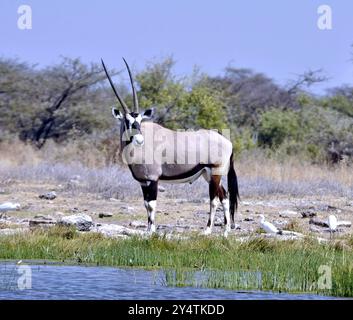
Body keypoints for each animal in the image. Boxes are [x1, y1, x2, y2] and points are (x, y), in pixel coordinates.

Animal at [102, 58, 239, 236]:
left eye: (139, 121)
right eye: (127, 121)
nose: (139, 139)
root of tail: (228, 142)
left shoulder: (153, 179)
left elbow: (151, 204)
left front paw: (152, 231)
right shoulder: (143, 182)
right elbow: (145, 204)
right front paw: (148, 230)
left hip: (215, 172)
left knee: (214, 199)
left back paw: (207, 230)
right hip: (209, 174)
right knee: (225, 197)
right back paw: (225, 232)